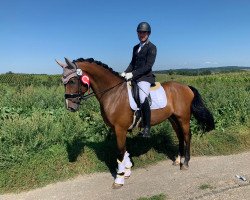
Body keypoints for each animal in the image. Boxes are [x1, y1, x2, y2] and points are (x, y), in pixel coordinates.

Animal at [56, 57, 215, 188]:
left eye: (72, 81)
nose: (70, 106)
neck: (113, 94)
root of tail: (186, 87)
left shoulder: (120, 128)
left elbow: (120, 152)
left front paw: (119, 179)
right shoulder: (118, 129)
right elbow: (125, 150)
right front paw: (127, 171)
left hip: (183, 118)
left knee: (187, 136)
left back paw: (185, 163)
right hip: (173, 118)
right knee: (180, 137)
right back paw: (178, 160)